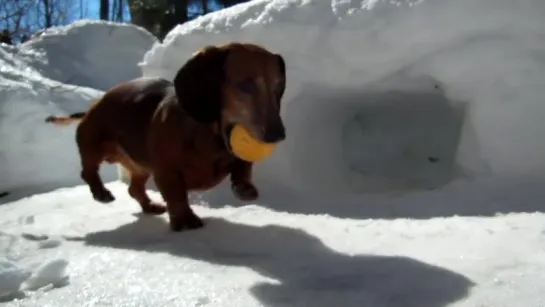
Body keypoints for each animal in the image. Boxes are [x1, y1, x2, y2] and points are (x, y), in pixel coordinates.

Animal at [44, 42, 286, 232]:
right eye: (245, 85)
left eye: (278, 88)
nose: (278, 135)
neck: (210, 137)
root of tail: (92, 107)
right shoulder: (166, 172)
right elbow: (176, 196)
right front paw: (185, 220)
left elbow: (242, 166)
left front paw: (244, 187)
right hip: (94, 144)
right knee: (88, 171)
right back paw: (101, 192)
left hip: (140, 167)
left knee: (134, 188)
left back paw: (150, 206)